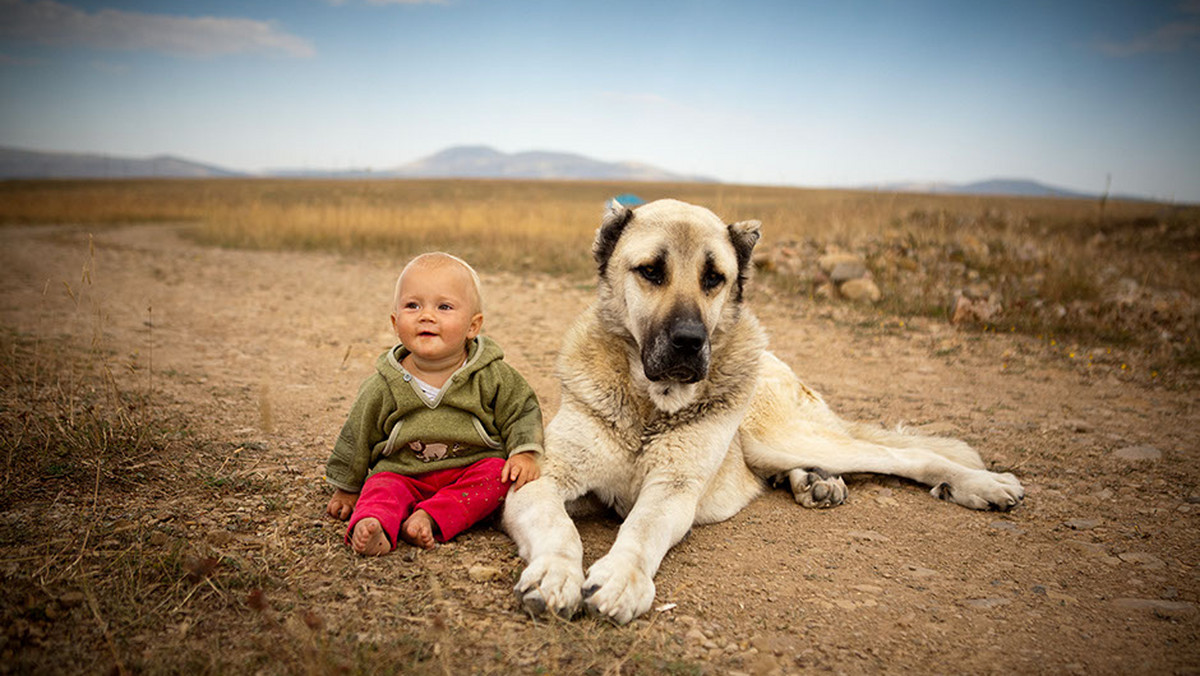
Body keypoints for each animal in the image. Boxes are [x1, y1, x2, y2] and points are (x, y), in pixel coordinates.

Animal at [501, 199, 1027, 624]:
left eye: (714, 278)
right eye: (650, 270)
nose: (690, 342)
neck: (651, 405)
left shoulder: (673, 490)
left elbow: (641, 530)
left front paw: (621, 577)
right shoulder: (543, 478)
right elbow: (560, 527)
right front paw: (554, 574)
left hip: (777, 435)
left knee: (903, 456)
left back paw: (980, 484)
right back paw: (815, 482)